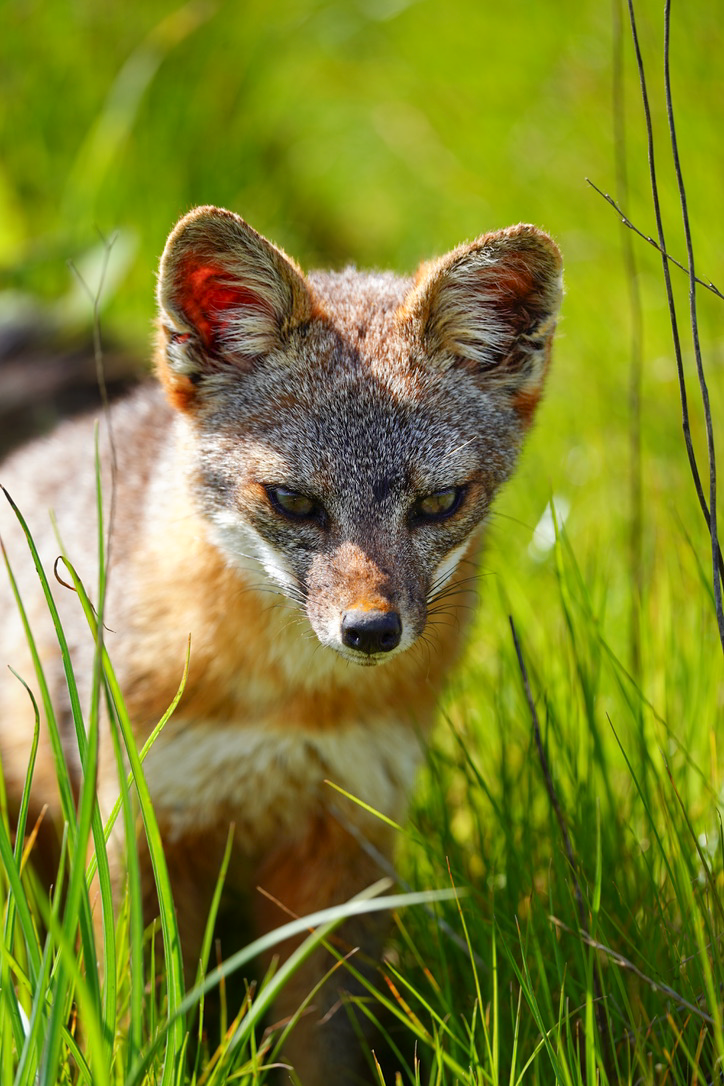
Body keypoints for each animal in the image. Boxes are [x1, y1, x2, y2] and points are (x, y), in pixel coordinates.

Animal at [0, 205, 562, 1084]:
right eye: (294, 502)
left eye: (440, 502)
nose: (372, 630)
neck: (289, 703)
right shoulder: (140, 827)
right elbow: (144, 1020)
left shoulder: (344, 840)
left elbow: (319, 1041)